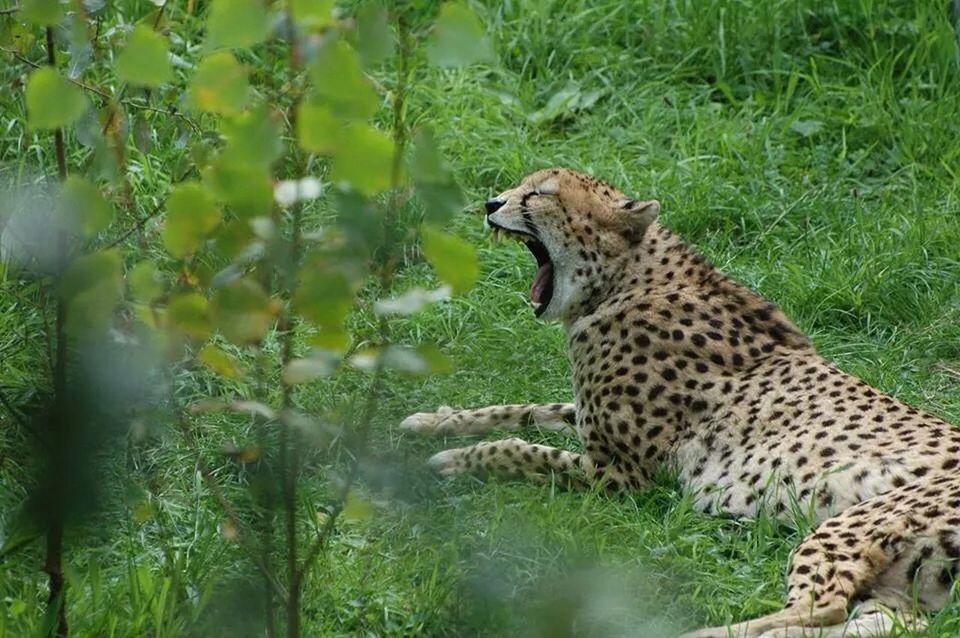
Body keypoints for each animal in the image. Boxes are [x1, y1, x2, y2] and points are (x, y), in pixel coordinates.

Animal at [404, 168, 960, 636]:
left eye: (540, 193)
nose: (491, 203)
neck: (622, 283)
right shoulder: (590, 427)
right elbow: (529, 409)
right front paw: (433, 420)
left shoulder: (625, 477)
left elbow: (522, 449)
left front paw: (455, 459)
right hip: (903, 588)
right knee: (869, 622)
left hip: (851, 523)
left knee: (819, 608)